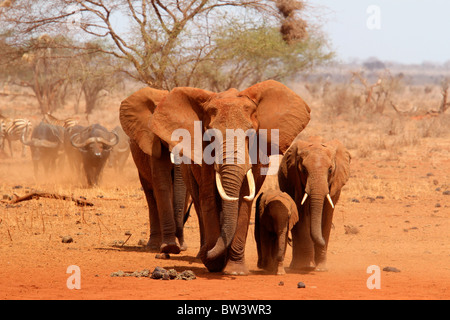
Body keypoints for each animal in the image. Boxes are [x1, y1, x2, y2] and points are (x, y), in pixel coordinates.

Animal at [119, 87, 188, 252]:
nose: (181, 246)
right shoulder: (152, 141)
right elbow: (162, 184)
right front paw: (169, 247)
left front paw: (179, 246)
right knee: (151, 194)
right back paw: (154, 245)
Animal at [149, 80, 312, 276]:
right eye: (210, 136)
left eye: (251, 134)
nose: (206, 252)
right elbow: (209, 198)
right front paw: (214, 264)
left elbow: (244, 200)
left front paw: (235, 271)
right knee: (199, 201)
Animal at [278, 136, 352, 272]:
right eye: (304, 170)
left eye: (330, 170)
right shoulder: (296, 181)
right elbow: (301, 212)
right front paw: (304, 266)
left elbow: (327, 214)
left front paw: (321, 269)